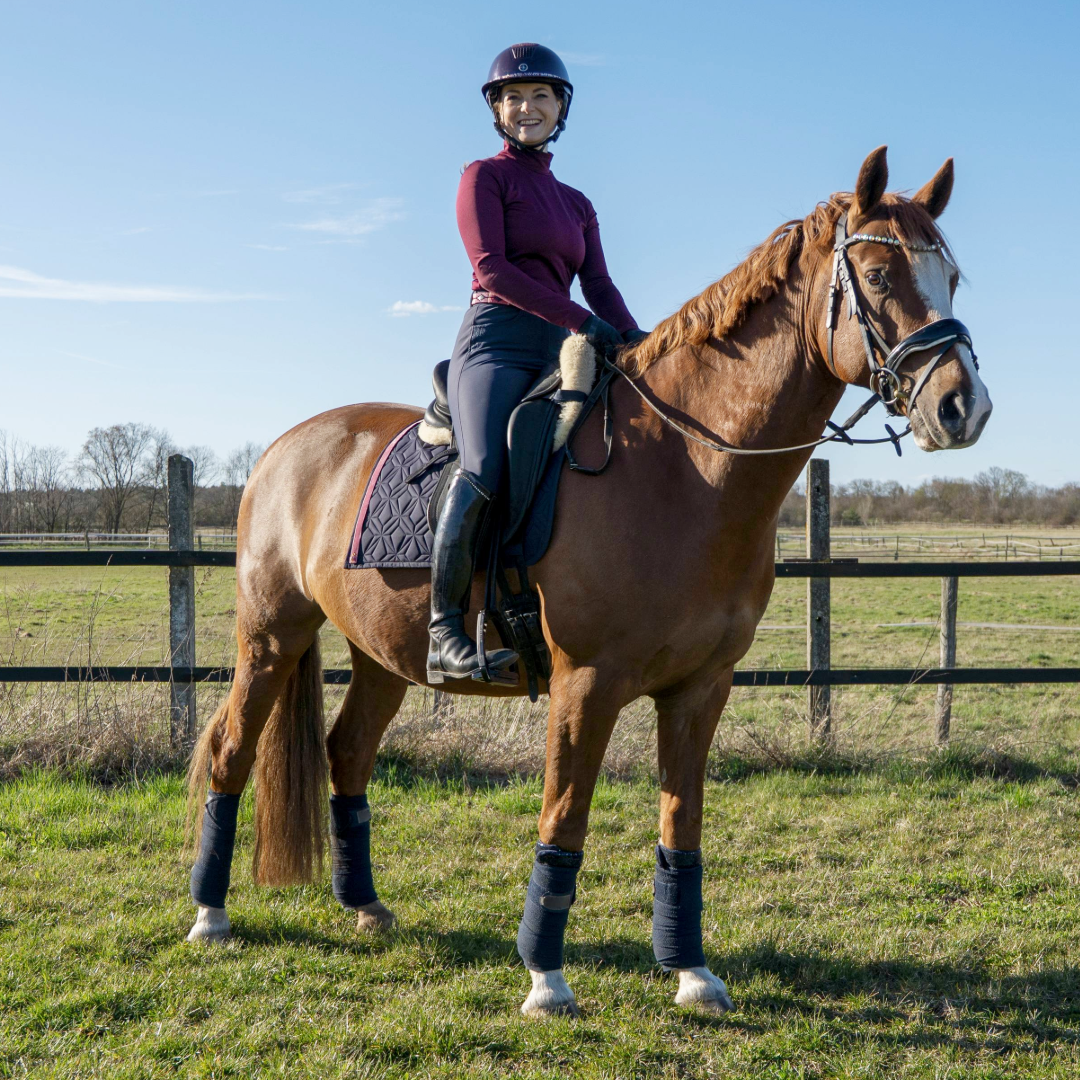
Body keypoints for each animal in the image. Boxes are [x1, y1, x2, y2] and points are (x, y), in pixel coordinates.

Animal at [185, 147, 992, 1018]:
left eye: (952, 276)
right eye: (877, 275)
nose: (964, 407)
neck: (683, 468)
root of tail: (284, 447)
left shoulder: (702, 688)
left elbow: (682, 828)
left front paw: (691, 970)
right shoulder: (586, 684)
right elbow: (564, 822)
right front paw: (546, 978)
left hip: (381, 654)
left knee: (348, 754)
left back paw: (363, 904)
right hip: (271, 635)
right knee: (230, 750)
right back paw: (209, 914)